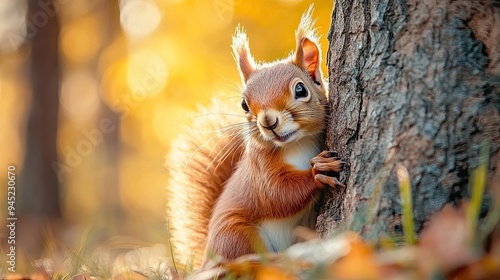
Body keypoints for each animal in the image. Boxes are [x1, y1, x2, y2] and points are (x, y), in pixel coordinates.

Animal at [166, 7, 346, 270]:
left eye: (300, 89)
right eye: (244, 104)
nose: (268, 122)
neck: (297, 144)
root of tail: (206, 264)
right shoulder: (260, 170)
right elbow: (278, 194)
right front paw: (318, 170)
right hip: (237, 236)